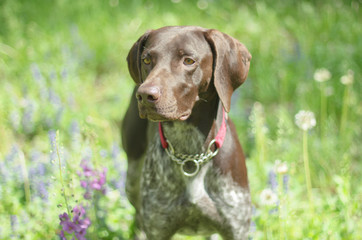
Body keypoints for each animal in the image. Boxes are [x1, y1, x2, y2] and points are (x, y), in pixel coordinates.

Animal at [121, 25, 252, 239]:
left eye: (189, 60)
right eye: (146, 60)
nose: (145, 94)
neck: (191, 154)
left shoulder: (237, 227)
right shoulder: (157, 228)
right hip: (132, 180)